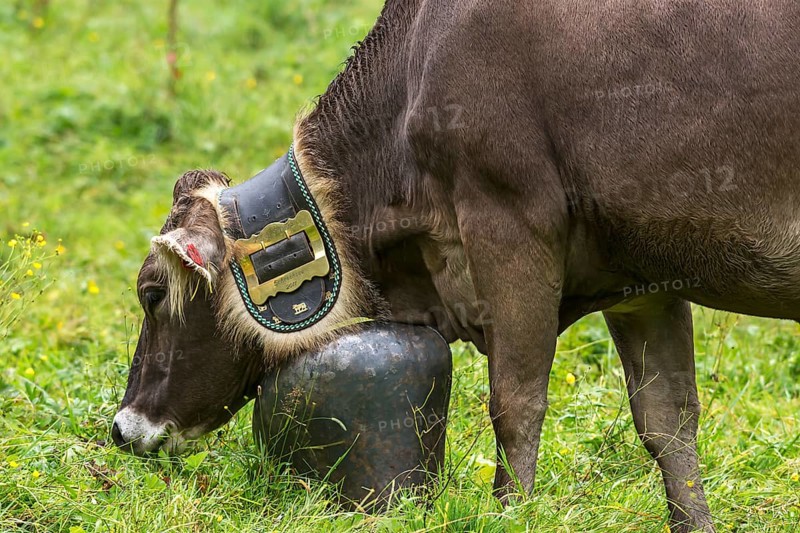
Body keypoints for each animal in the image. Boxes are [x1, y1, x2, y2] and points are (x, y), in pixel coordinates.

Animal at [111, 1, 800, 531]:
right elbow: (668, 421)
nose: (123, 427)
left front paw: (509, 514)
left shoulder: (508, 221)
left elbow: (515, 405)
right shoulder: (644, 275)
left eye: (152, 292)